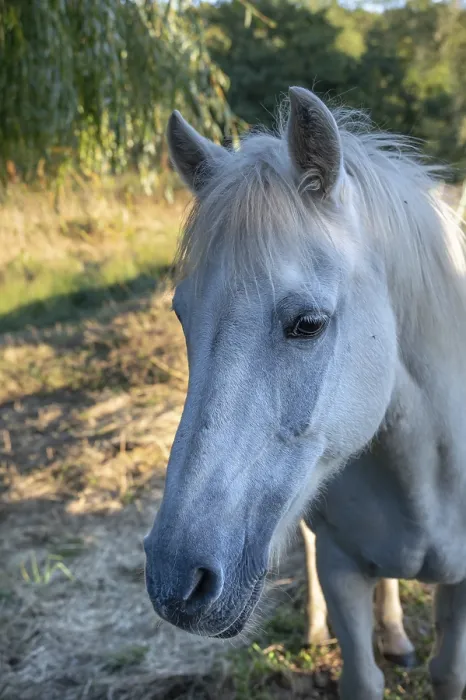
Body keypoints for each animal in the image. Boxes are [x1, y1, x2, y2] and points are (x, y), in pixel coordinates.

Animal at [143, 87, 466, 700]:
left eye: (308, 324)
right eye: (182, 316)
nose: (176, 580)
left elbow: (448, 672)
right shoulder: (342, 571)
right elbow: (360, 676)